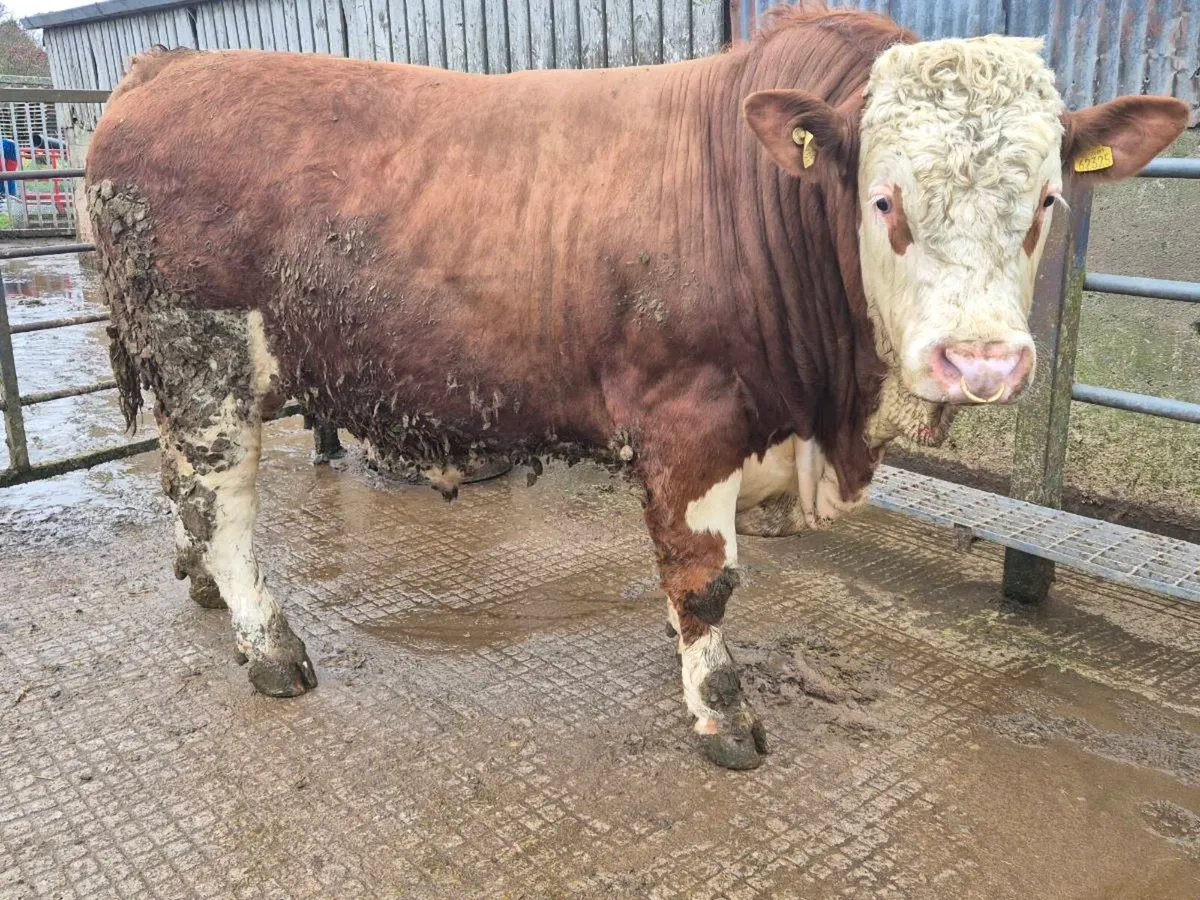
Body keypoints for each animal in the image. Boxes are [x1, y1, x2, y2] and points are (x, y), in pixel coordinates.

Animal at [85, 4, 1188, 770]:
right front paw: (722, 710)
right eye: (884, 200)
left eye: (1046, 200)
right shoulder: (689, 418)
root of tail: (166, 66)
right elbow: (707, 578)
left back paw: (198, 585)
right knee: (225, 502)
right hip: (204, 356)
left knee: (183, 483)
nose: (983, 361)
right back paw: (270, 646)